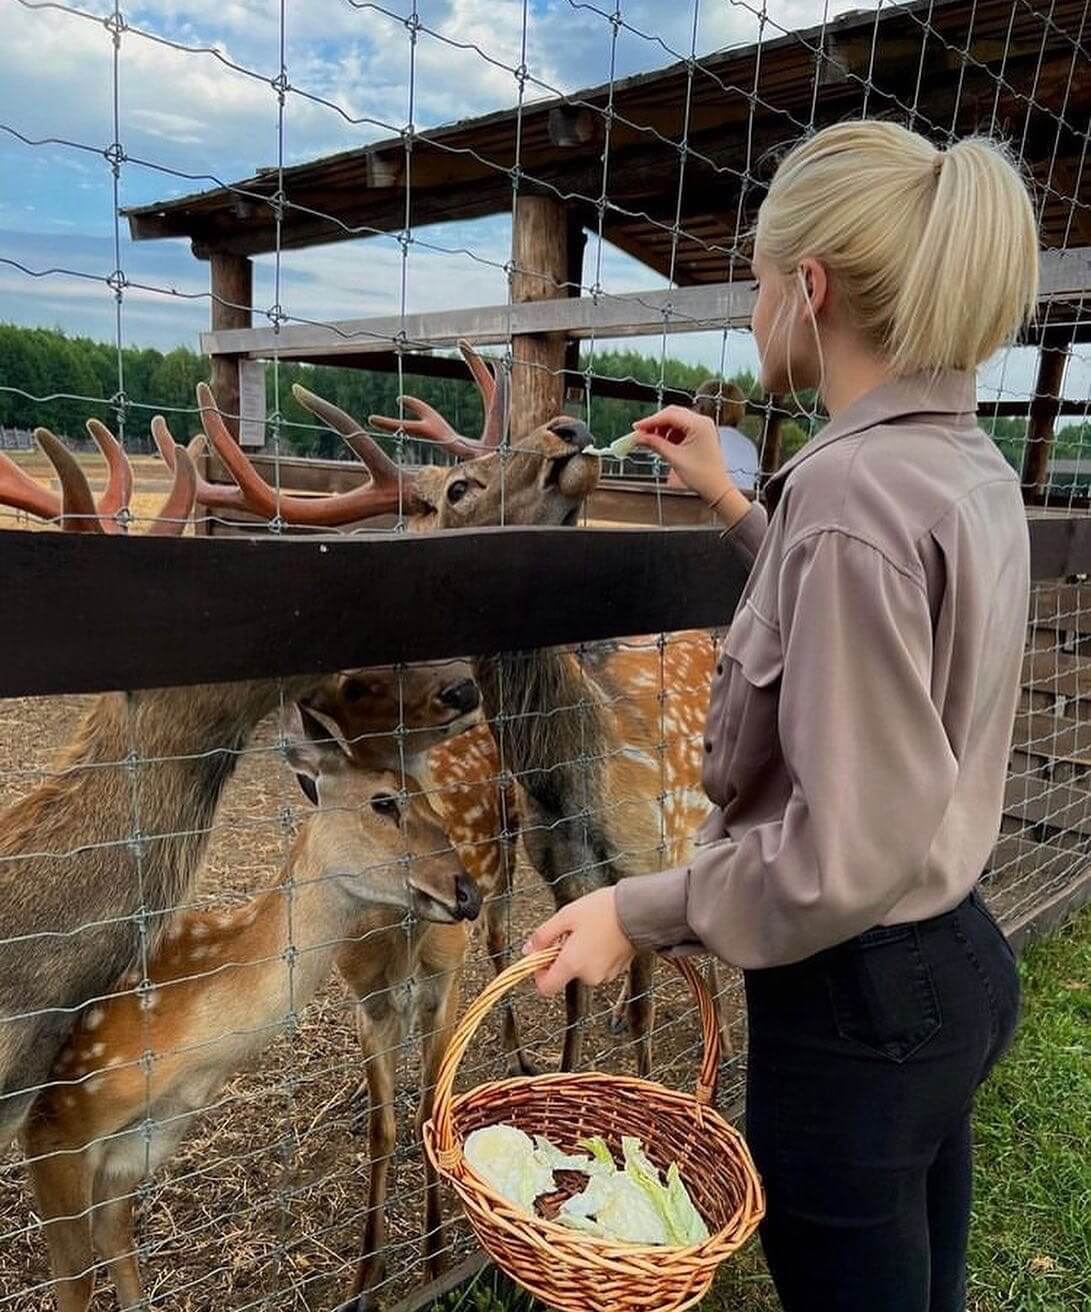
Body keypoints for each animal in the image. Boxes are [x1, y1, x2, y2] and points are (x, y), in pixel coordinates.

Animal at [174, 354, 729, 1081]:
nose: (568, 427)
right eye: (461, 485)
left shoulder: (650, 850)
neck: (578, 778)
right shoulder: (566, 875)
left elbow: (641, 1004)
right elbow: (575, 1003)